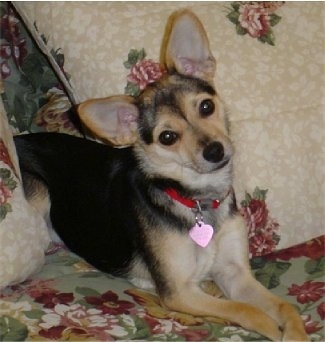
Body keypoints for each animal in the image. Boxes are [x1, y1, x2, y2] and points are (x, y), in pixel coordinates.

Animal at [15, 9, 308, 340]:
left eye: (206, 107)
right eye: (167, 137)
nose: (215, 151)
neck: (196, 200)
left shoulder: (235, 273)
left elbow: (285, 306)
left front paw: (295, 332)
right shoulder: (179, 292)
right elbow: (245, 310)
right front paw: (272, 328)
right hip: (39, 192)